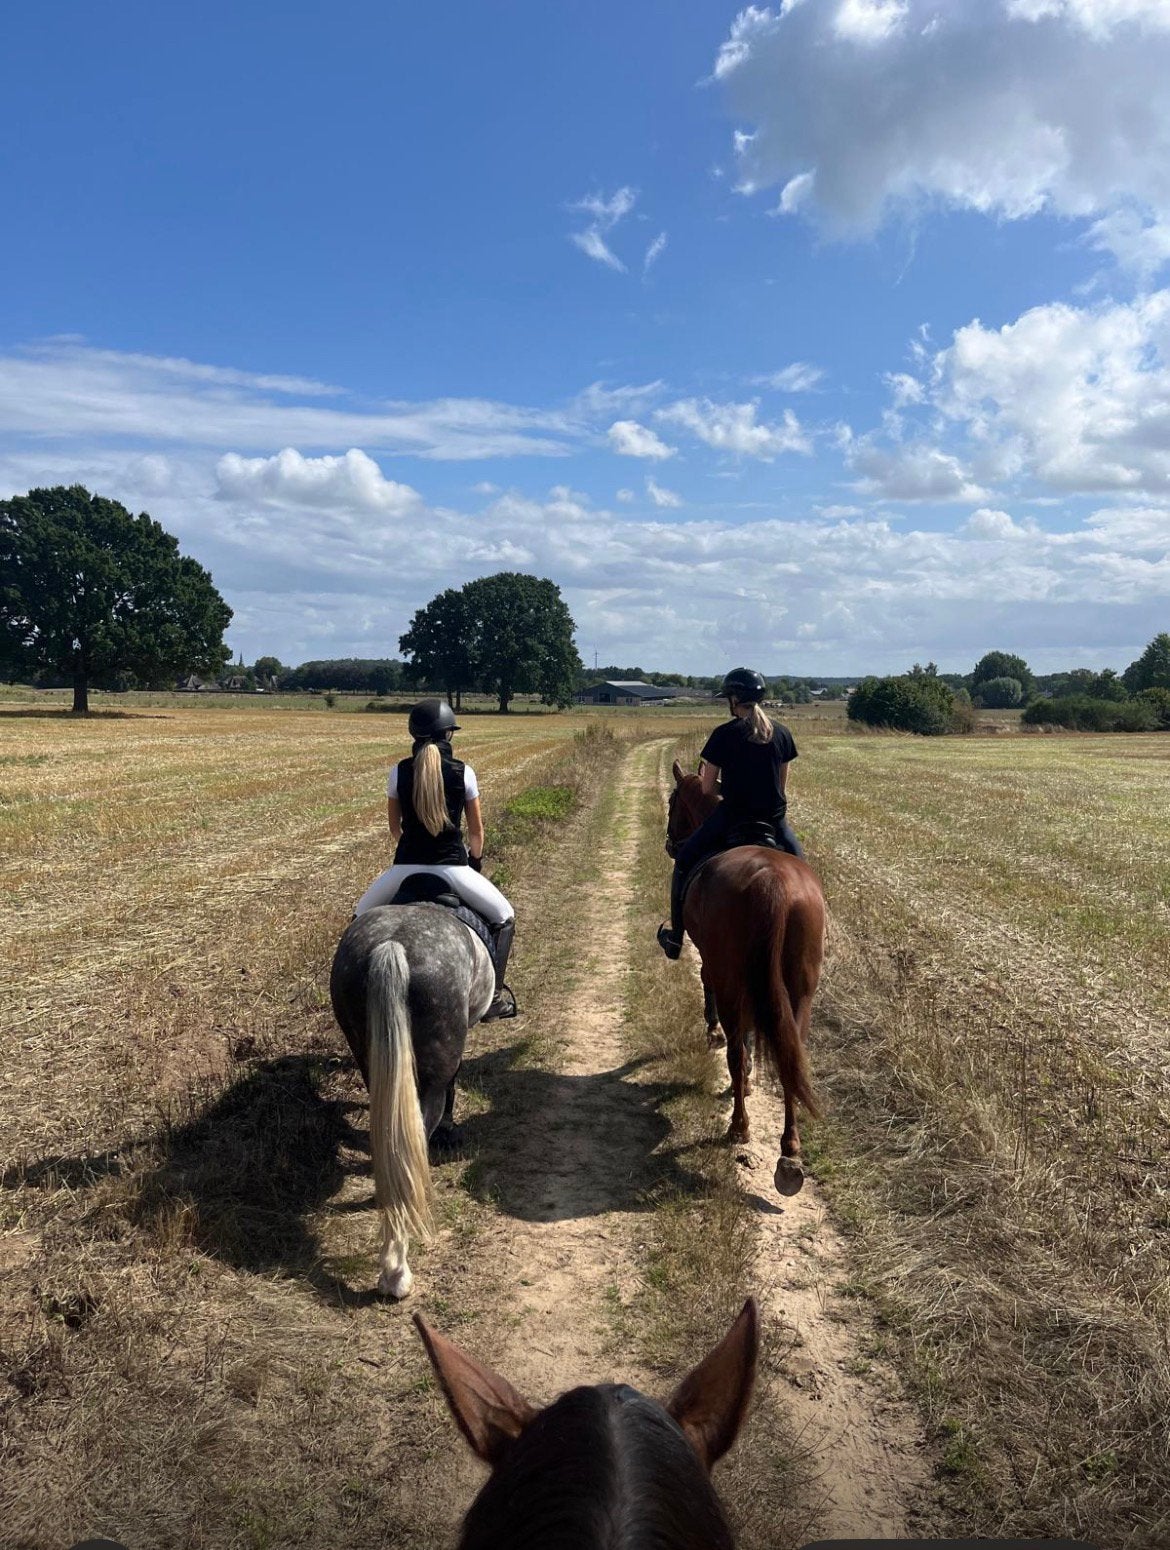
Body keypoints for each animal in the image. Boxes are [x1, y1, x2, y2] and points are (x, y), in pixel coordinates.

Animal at [665, 760, 825, 1197]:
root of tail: (772, 882)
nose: (671, 844)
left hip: (731, 976)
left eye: (672, 803)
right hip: (800, 989)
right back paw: (789, 1156)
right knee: (790, 1055)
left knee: (735, 1051)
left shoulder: (713, 962)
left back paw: (739, 1126)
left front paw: (713, 1034)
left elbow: (709, 992)